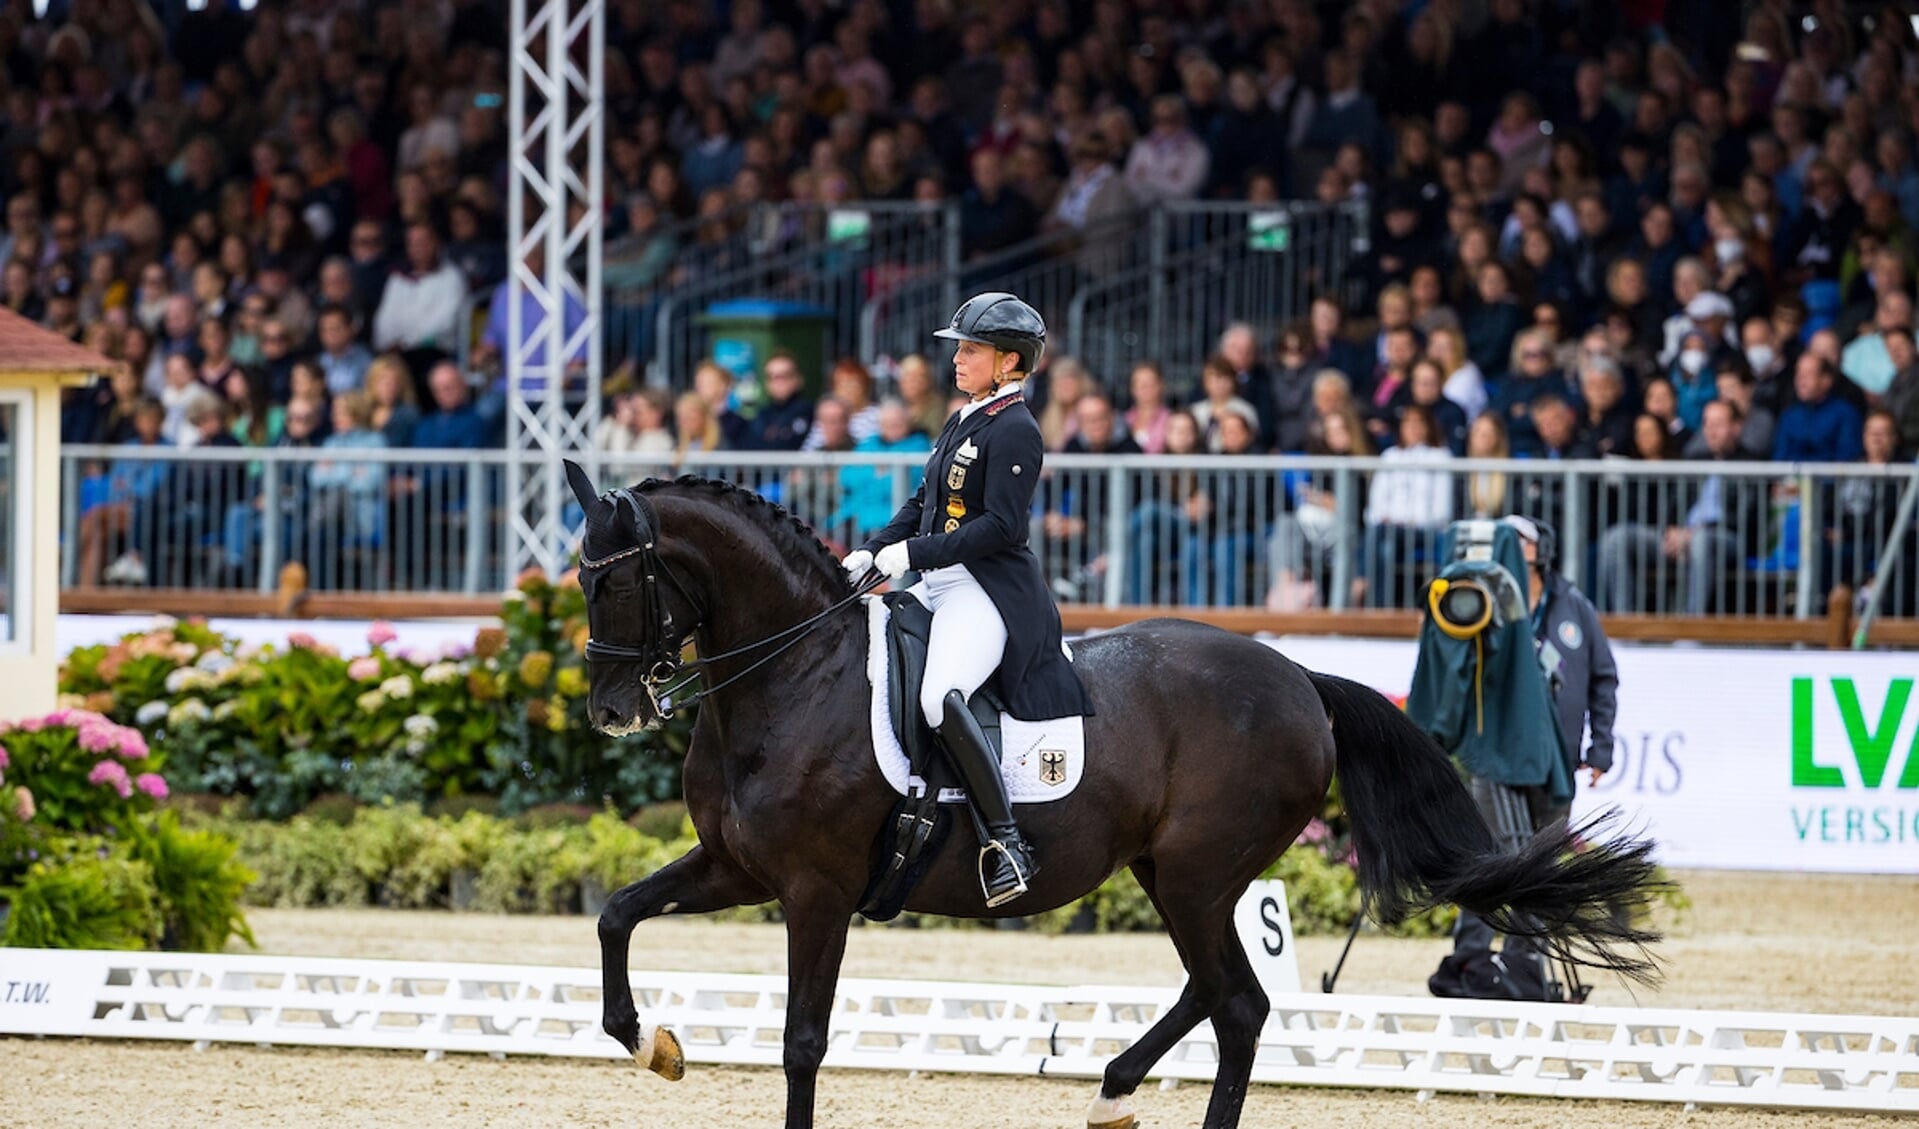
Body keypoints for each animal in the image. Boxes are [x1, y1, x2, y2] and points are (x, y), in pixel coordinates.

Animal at [564, 466, 1650, 1129]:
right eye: (580, 580)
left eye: (616, 583)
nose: (613, 710)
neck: (793, 673)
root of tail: (1299, 678)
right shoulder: (737, 867)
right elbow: (616, 914)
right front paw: (650, 1042)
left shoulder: (816, 891)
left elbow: (801, 1040)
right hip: (1173, 873)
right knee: (1222, 994)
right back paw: (1116, 1088)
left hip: (1197, 874)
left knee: (1237, 1004)